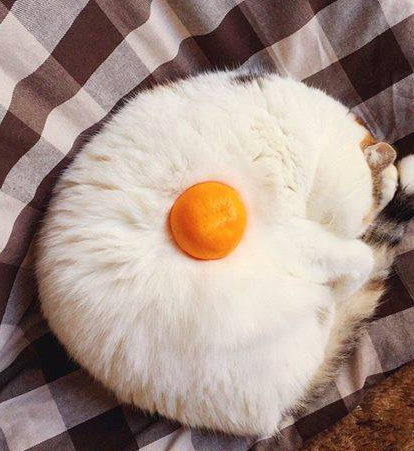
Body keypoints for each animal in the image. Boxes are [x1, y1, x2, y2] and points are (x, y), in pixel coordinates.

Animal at [36, 70, 414, 436]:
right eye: (368, 214)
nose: (363, 230)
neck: (295, 130)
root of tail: (269, 417)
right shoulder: (288, 233)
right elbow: (359, 258)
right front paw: (351, 275)